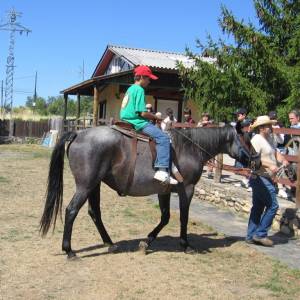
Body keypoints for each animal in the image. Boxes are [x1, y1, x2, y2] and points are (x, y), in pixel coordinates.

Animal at [39, 124, 260, 258]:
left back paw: (109, 243)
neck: (190, 148)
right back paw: (69, 250)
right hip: (85, 185)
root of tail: (78, 133)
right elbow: (183, 218)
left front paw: (146, 242)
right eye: (248, 139)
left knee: (95, 213)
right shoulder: (187, 189)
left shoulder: (164, 191)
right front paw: (185, 244)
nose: (257, 160)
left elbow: (165, 217)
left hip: (94, 185)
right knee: (71, 211)